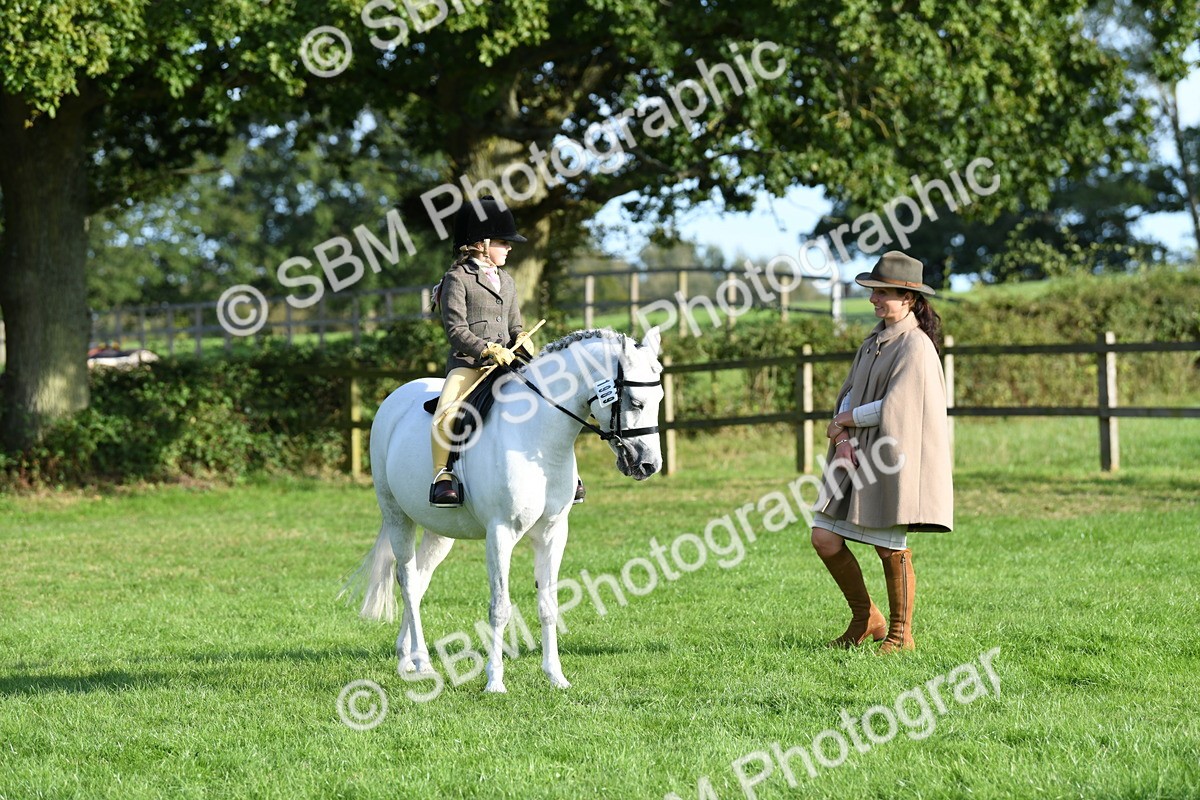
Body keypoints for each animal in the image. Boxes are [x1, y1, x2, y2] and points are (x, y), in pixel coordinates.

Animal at [345, 327, 665, 693]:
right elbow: (500, 607)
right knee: (408, 581)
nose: (648, 465)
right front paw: (495, 681)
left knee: (421, 578)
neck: (538, 435)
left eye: (660, 399)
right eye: (636, 402)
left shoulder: (553, 533)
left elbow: (549, 605)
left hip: (439, 531)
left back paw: (406, 656)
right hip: (397, 515)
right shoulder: (500, 534)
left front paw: (555, 676)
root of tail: (395, 397)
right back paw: (422, 661)